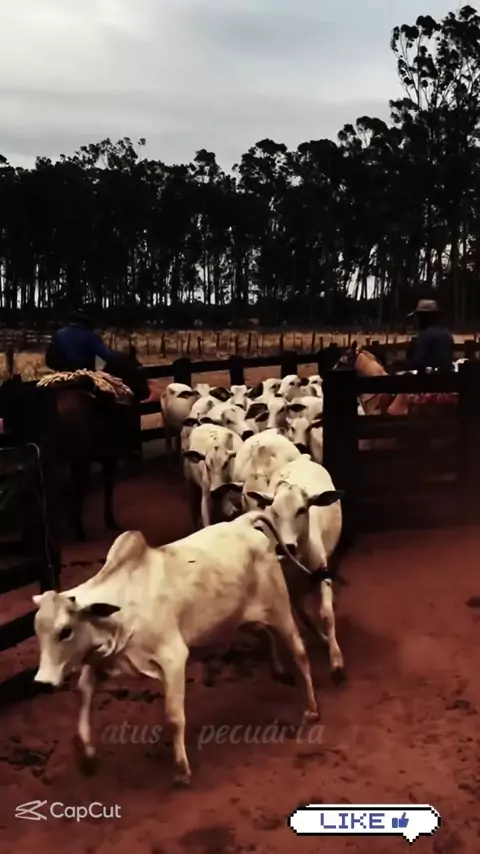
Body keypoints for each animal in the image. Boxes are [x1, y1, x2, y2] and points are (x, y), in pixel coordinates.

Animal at [0, 349, 151, 541]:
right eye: (139, 368)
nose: (147, 391)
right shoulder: (106, 459)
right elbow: (101, 489)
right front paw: (106, 521)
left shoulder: (78, 461)